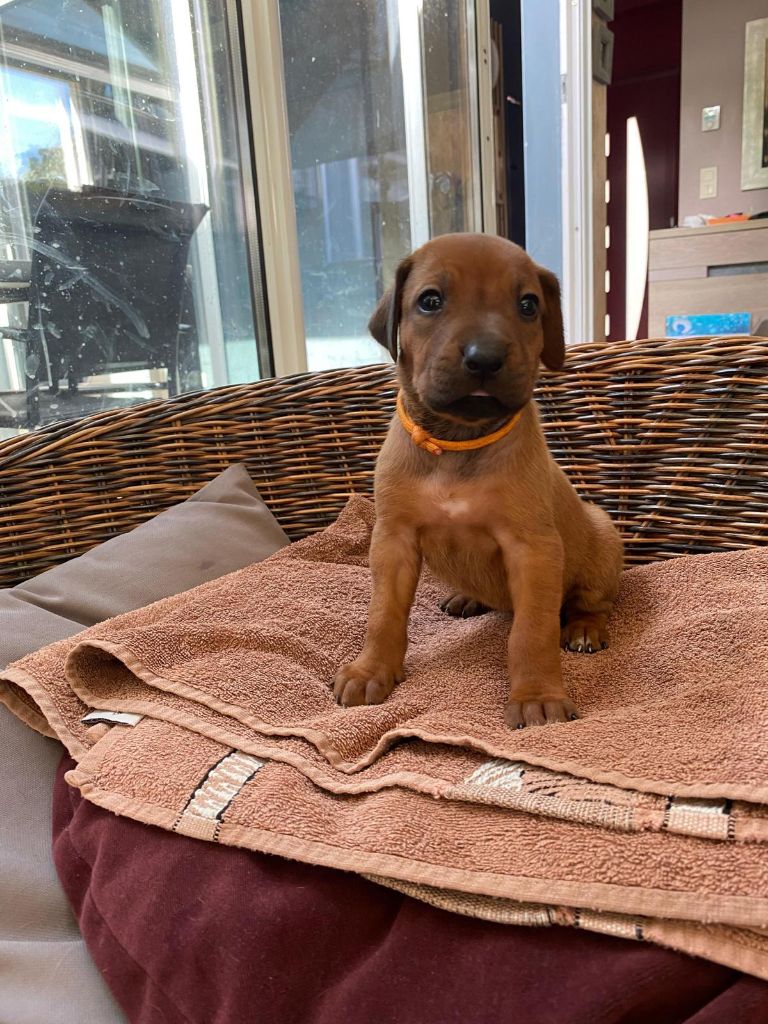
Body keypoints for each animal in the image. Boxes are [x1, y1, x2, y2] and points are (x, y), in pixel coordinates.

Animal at [333, 233, 623, 728]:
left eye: (528, 305)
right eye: (430, 301)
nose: (484, 358)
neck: (457, 444)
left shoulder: (533, 550)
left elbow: (532, 630)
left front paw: (537, 696)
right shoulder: (392, 541)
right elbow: (383, 613)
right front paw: (372, 670)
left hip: (602, 538)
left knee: (590, 602)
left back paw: (584, 627)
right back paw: (467, 598)